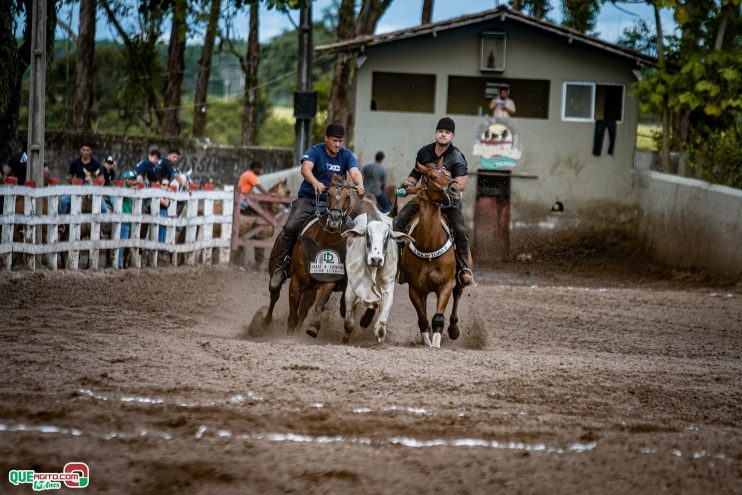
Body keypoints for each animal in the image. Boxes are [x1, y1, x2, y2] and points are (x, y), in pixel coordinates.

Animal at [264, 174, 354, 338]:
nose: (334, 219)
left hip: (311, 286)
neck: (324, 241)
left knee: (305, 307)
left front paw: (313, 328)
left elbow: (318, 304)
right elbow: (293, 313)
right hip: (276, 270)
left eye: (348, 196)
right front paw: (289, 336)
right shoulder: (296, 281)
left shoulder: (328, 280)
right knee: (274, 293)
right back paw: (265, 323)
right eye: (328, 193)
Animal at [342, 209, 412, 344]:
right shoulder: (351, 290)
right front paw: (344, 340)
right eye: (367, 235)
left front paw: (379, 335)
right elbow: (348, 324)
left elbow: (381, 324)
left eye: (387, 236)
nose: (376, 259)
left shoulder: (387, 288)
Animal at [402, 161, 470, 350]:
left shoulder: (446, 284)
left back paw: (454, 329)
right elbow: (423, 319)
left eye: (449, 173)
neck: (428, 245)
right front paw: (427, 340)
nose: (455, 189)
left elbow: (438, 317)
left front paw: (435, 343)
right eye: (432, 176)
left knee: (457, 295)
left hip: (460, 280)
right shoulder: (414, 288)